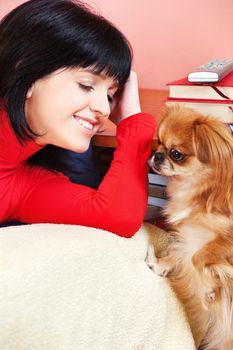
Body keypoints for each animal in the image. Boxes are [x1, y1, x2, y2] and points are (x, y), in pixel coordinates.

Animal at [147, 106, 233, 350]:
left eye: (176, 154)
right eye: (158, 142)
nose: (157, 155)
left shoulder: (225, 237)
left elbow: (199, 258)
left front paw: (210, 290)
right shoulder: (188, 236)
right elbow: (181, 255)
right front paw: (160, 265)